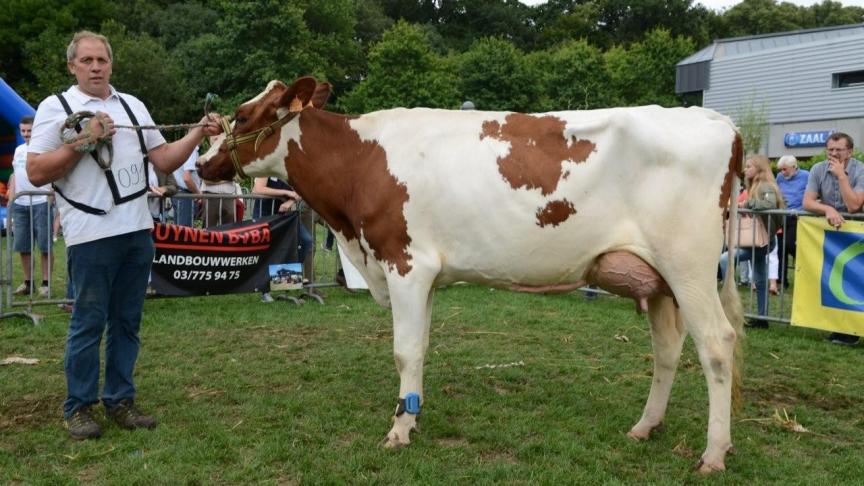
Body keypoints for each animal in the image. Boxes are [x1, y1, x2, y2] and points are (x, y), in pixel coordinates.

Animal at [196, 78, 744, 472]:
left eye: (241, 115)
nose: (201, 163)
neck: (361, 162)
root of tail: (715, 120)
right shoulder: (425, 275)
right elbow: (421, 348)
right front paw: (412, 416)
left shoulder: (405, 264)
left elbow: (405, 350)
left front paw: (398, 431)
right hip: (658, 279)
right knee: (667, 348)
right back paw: (645, 426)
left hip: (689, 266)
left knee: (716, 345)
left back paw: (713, 453)